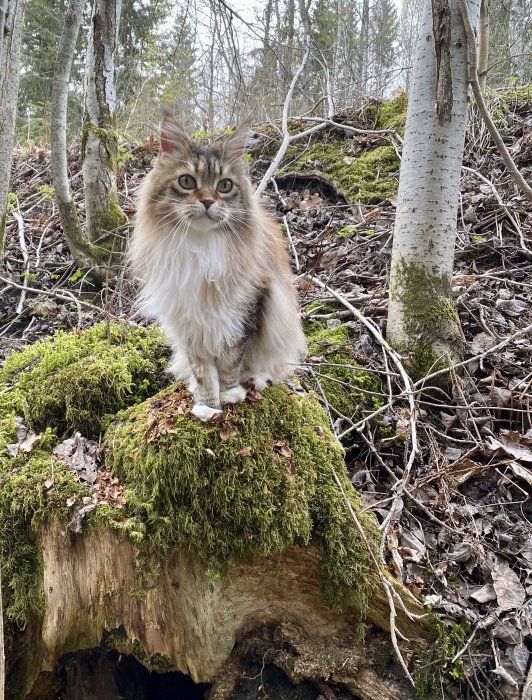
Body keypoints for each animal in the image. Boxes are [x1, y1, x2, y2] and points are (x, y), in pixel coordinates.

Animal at [129, 114, 306, 422]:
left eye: (224, 186)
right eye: (187, 181)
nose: (208, 201)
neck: (200, 248)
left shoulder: (242, 313)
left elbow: (230, 363)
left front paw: (230, 395)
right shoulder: (190, 322)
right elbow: (202, 372)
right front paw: (207, 405)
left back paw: (257, 380)